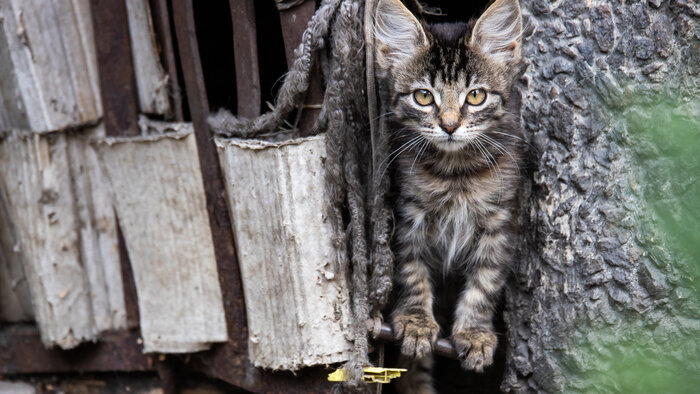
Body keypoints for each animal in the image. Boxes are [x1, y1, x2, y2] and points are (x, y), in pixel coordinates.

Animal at [374, 0, 524, 390]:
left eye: (476, 96)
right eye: (424, 96)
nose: (450, 125)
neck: (456, 172)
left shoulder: (500, 224)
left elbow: (484, 284)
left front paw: (475, 334)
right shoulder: (406, 218)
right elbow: (411, 273)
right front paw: (415, 322)